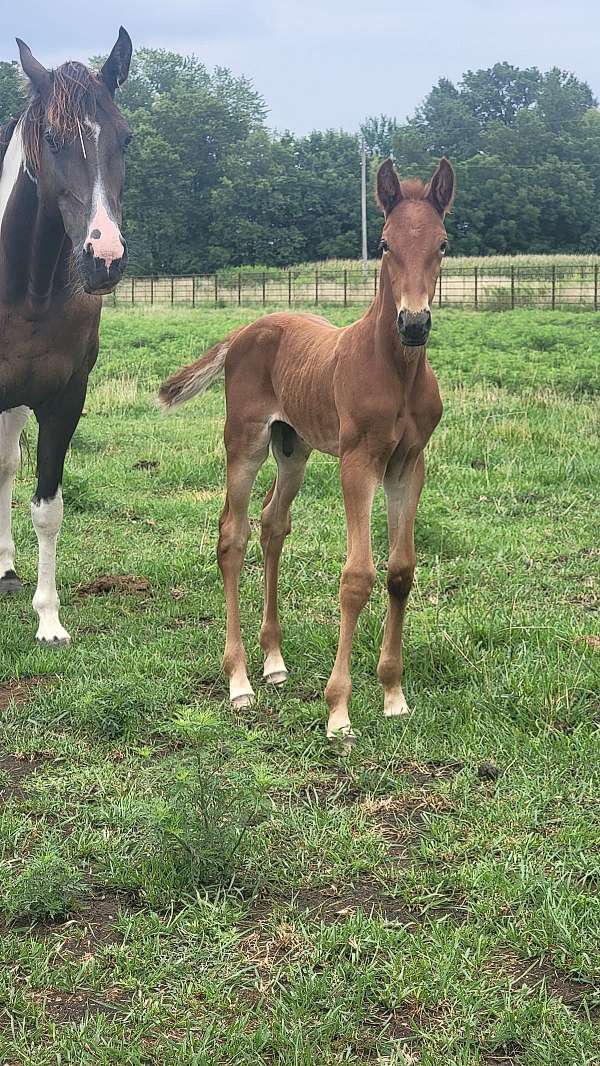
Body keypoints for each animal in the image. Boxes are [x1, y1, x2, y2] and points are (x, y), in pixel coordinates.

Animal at [159, 157, 456, 746]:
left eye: (442, 243)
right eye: (384, 243)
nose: (414, 323)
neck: (396, 371)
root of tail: (243, 330)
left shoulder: (408, 465)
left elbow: (401, 570)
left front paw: (393, 695)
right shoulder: (358, 462)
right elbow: (357, 577)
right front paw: (338, 710)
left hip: (291, 448)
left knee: (273, 523)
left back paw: (273, 662)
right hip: (245, 442)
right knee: (233, 534)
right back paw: (240, 680)